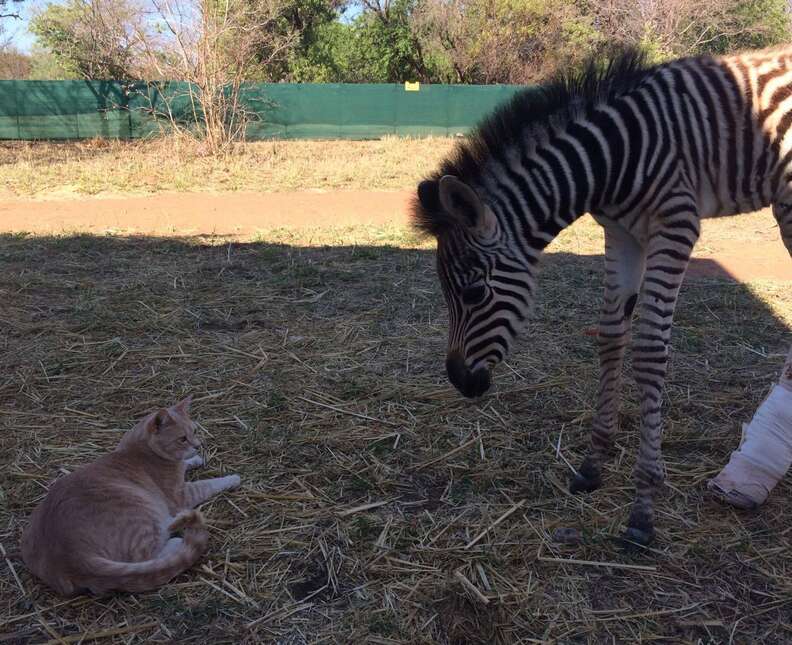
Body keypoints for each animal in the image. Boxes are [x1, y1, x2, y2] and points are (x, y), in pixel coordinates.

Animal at [22, 394, 241, 596]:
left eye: (195, 431)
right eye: (182, 439)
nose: (198, 445)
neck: (140, 447)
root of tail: (70, 557)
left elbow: (186, 464)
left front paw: (195, 459)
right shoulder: (181, 495)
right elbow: (208, 484)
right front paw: (232, 478)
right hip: (143, 511)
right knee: (149, 554)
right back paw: (175, 535)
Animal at [412, 47, 792, 544]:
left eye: (475, 292)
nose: (459, 380)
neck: (608, 159)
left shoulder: (675, 223)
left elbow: (648, 350)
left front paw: (643, 508)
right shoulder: (620, 231)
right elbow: (612, 336)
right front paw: (594, 465)